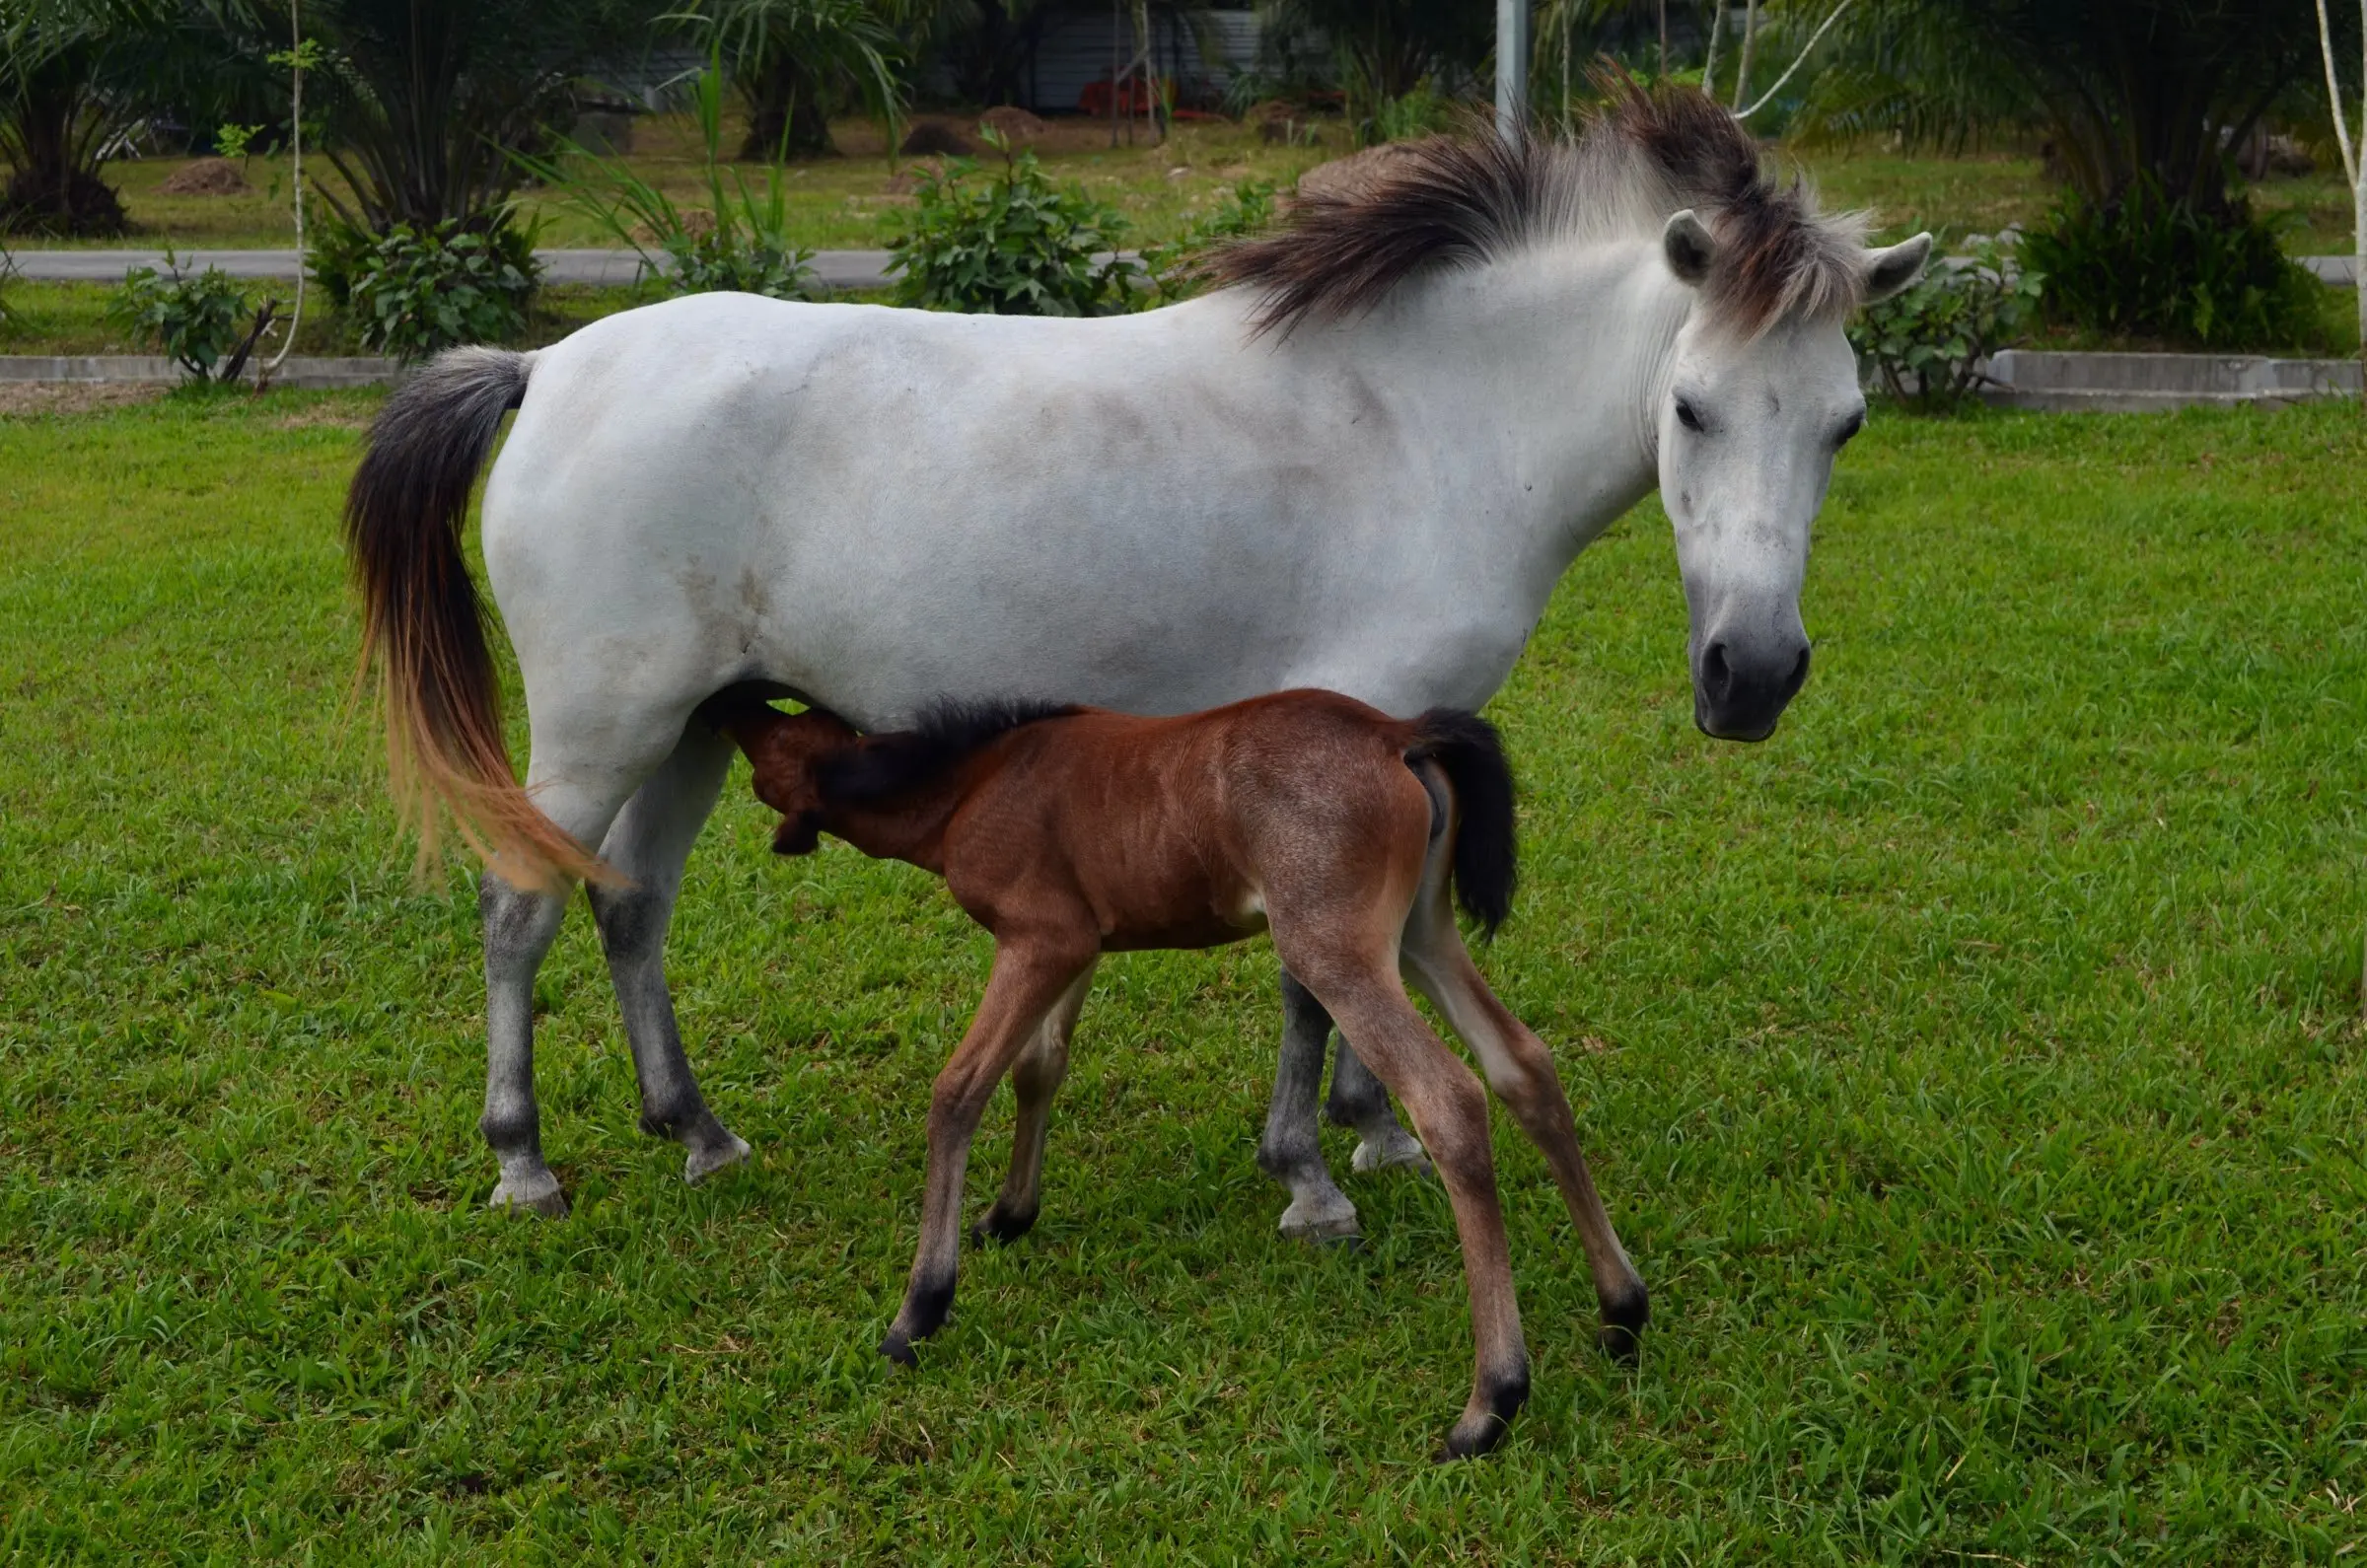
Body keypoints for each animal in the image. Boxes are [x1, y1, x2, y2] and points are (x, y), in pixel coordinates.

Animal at [343, 78, 1928, 1229]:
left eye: (1846, 422)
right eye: (1693, 407)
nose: (1752, 676)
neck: (1424, 424)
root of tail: (547, 364)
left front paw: (1368, 1136)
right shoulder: (1341, 732)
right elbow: (1313, 972)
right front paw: (1313, 1173)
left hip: (694, 721)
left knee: (631, 910)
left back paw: (700, 1133)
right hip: (603, 725)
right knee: (522, 910)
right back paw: (523, 1160)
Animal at [712, 689, 1644, 1459]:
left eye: (768, 752)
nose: (734, 700)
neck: (969, 786)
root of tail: (1395, 732)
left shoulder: (1038, 938)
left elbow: (959, 1090)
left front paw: (919, 1311)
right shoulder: (1076, 945)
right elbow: (1039, 1068)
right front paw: (1011, 1214)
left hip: (1335, 947)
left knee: (1449, 1100)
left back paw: (1492, 1403)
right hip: (1420, 934)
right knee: (1524, 1065)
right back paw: (1623, 1312)